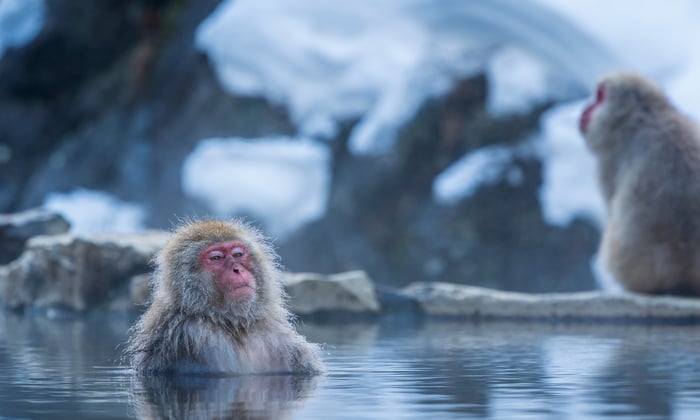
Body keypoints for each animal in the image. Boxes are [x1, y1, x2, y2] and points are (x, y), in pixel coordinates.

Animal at [125, 219, 324, 375]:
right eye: (216, 258)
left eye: (238, 254)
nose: (237, 269)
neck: (234, 325)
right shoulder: (194, 335)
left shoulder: (283, 339)